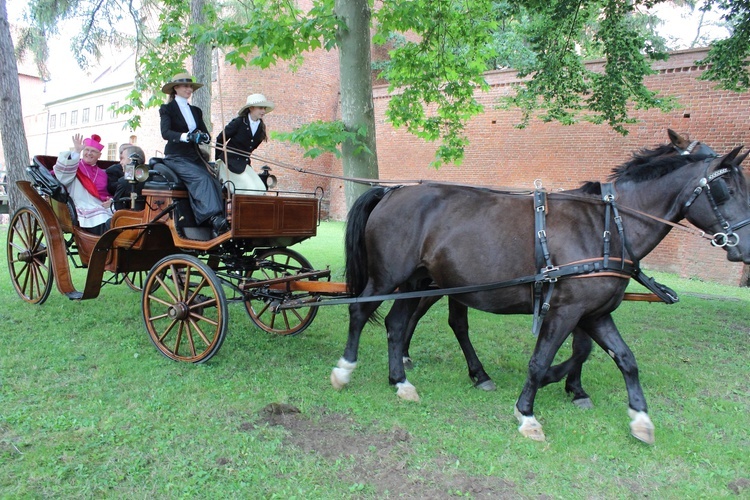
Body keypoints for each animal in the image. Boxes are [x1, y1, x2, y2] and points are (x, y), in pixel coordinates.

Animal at [334, 146, 750, 444]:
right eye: (726, 189)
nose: (744, 248)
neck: (607, 227)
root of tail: (391, 191)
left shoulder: (595, 313)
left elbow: (624, 359)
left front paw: (639, 418)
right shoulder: (565, 311)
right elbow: (540, 361)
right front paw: (529, 413)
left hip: (418, 282)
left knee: (397, 324)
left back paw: (401, 381)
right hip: (389, 277)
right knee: (360, 314)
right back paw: (345, 369)